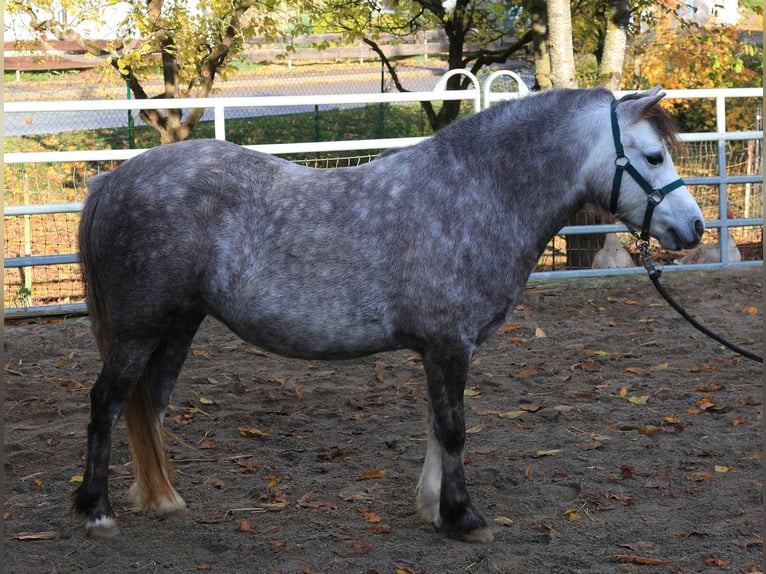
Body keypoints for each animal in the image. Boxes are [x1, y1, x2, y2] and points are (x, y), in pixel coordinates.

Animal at [73, 86, 704, 543]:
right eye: (653, 156)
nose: (695, 228)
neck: (473, 195)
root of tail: (114, 178)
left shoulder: (441, 350)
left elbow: (435, 426)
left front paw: (433, 508)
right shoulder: (450, 345)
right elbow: (452, 429)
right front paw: (463, 518)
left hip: (176, 328)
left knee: (148, 405)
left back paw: (162, 500)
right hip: (138, 331)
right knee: (107, 403)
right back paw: (97, 511)